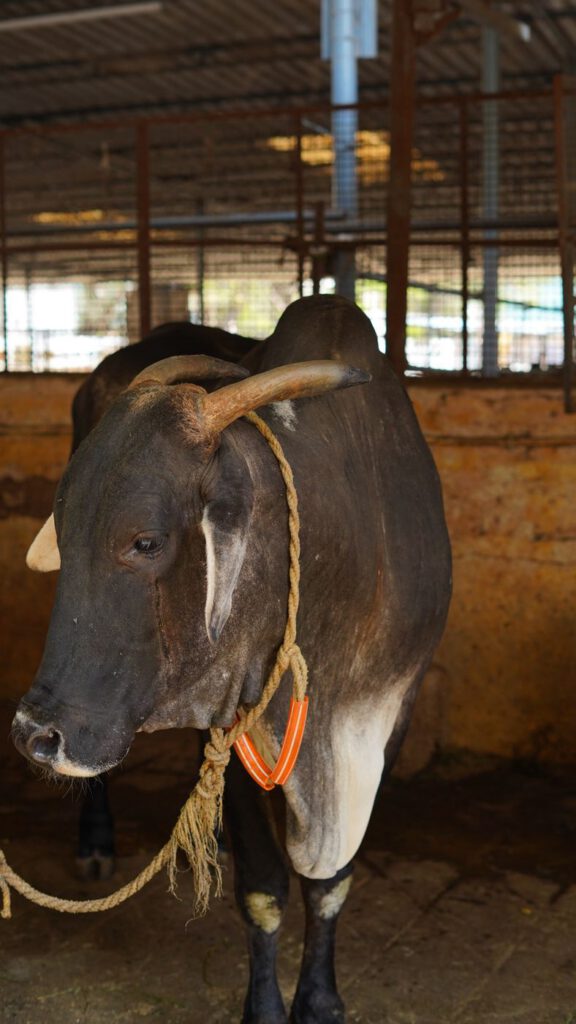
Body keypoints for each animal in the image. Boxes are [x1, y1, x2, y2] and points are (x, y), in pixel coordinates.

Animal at [12, 295, 451, 1024]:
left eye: (145, 540)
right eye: (65, 532)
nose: (34, 735)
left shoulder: (393, 712)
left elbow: (331, 880)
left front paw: (321, 999)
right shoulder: (238, 719)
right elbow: (266, 886)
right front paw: (267, 1009)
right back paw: (98, 842)